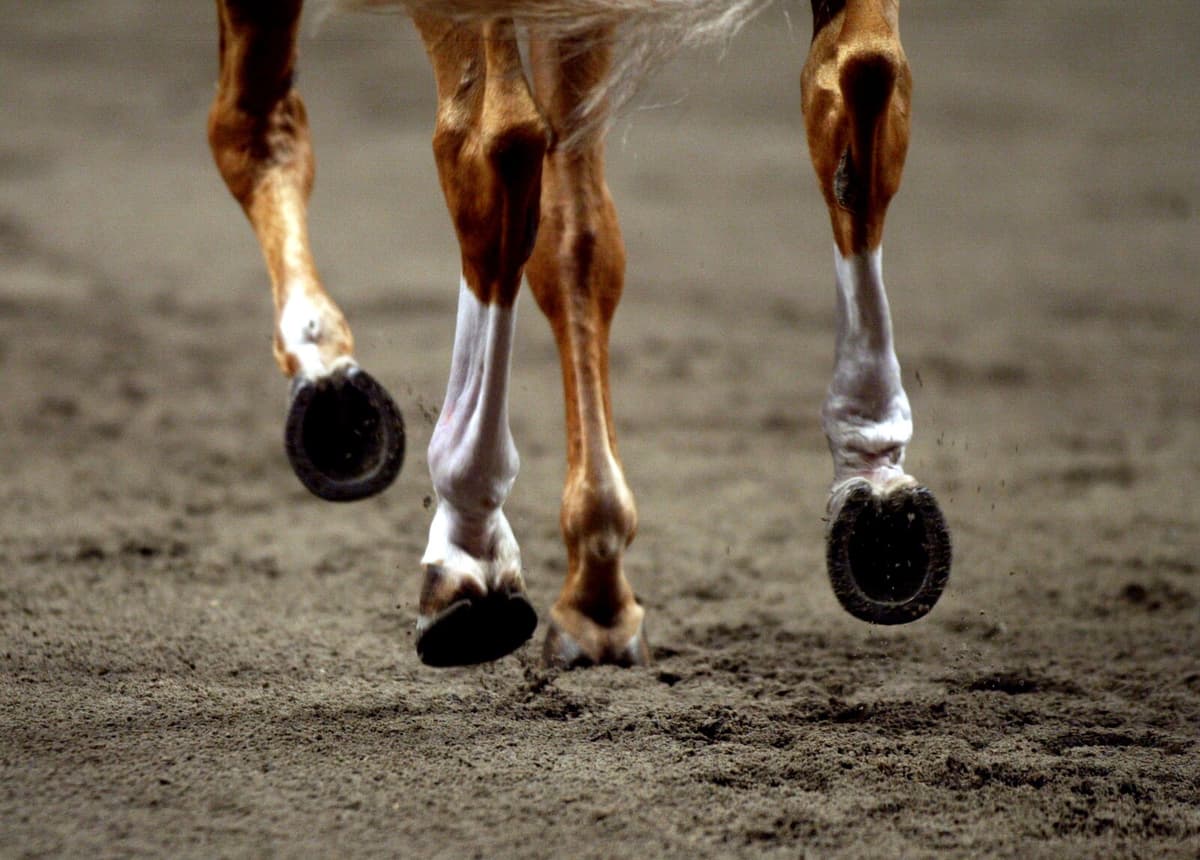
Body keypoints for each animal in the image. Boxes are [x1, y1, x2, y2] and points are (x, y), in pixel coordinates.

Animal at [207, 0, 951, 668]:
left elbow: (250, 127)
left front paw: (329, 382)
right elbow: (578, 235)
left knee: (484, 144)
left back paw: (470, 538)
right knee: (861, 75)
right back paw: (872, 488)